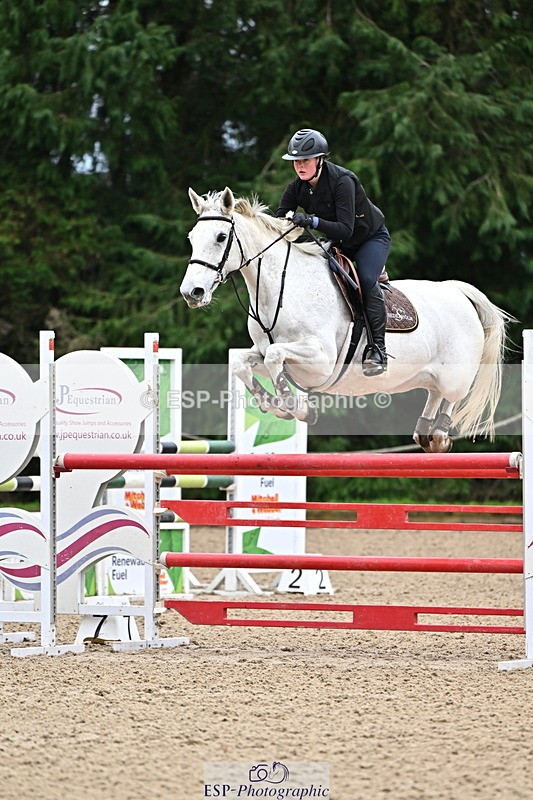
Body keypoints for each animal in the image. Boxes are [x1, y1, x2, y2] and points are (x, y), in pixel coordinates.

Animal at [180, 187, 511, 453]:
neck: (282, 287)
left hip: (455, 372)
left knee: (451, 394)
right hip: (427, 374)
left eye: (221, 237)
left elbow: (276, 356)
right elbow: (242, 363)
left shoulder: (321, 360)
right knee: (433, 393)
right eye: (192, 238)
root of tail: (456, 290)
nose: (191, 293)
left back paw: (439, 434)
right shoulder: (267, 354)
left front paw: (293, 407)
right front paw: (274, 404)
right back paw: (425, 431)